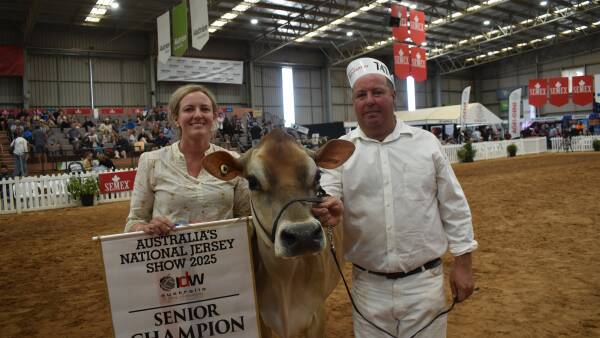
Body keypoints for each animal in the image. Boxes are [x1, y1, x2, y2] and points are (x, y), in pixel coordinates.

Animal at [204, 129, 354, 338]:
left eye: (318, 176)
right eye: (252, 182)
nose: (303, 235)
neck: (284, 278)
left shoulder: (317, 316)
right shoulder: (262, 319)